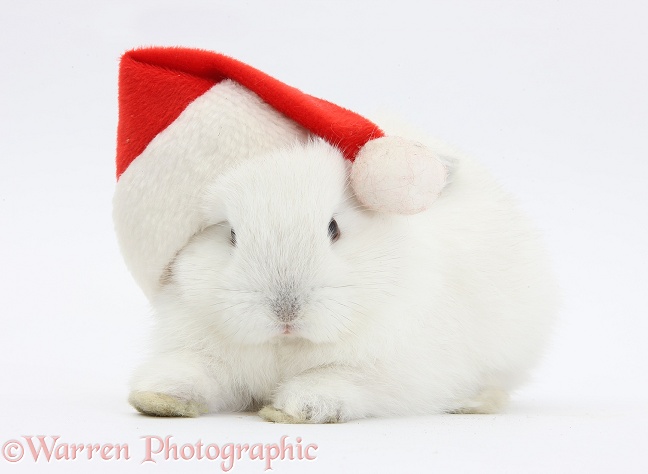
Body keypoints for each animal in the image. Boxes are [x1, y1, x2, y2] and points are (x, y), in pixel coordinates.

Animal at [130, 126, 556, 422]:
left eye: (333, 228)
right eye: (231, 234)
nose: (285, 311)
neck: (287, 346)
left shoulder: (394, 370)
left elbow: (339, 379)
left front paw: (297, 408)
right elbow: (197, 370)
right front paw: (158, 398)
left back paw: (475, 403)